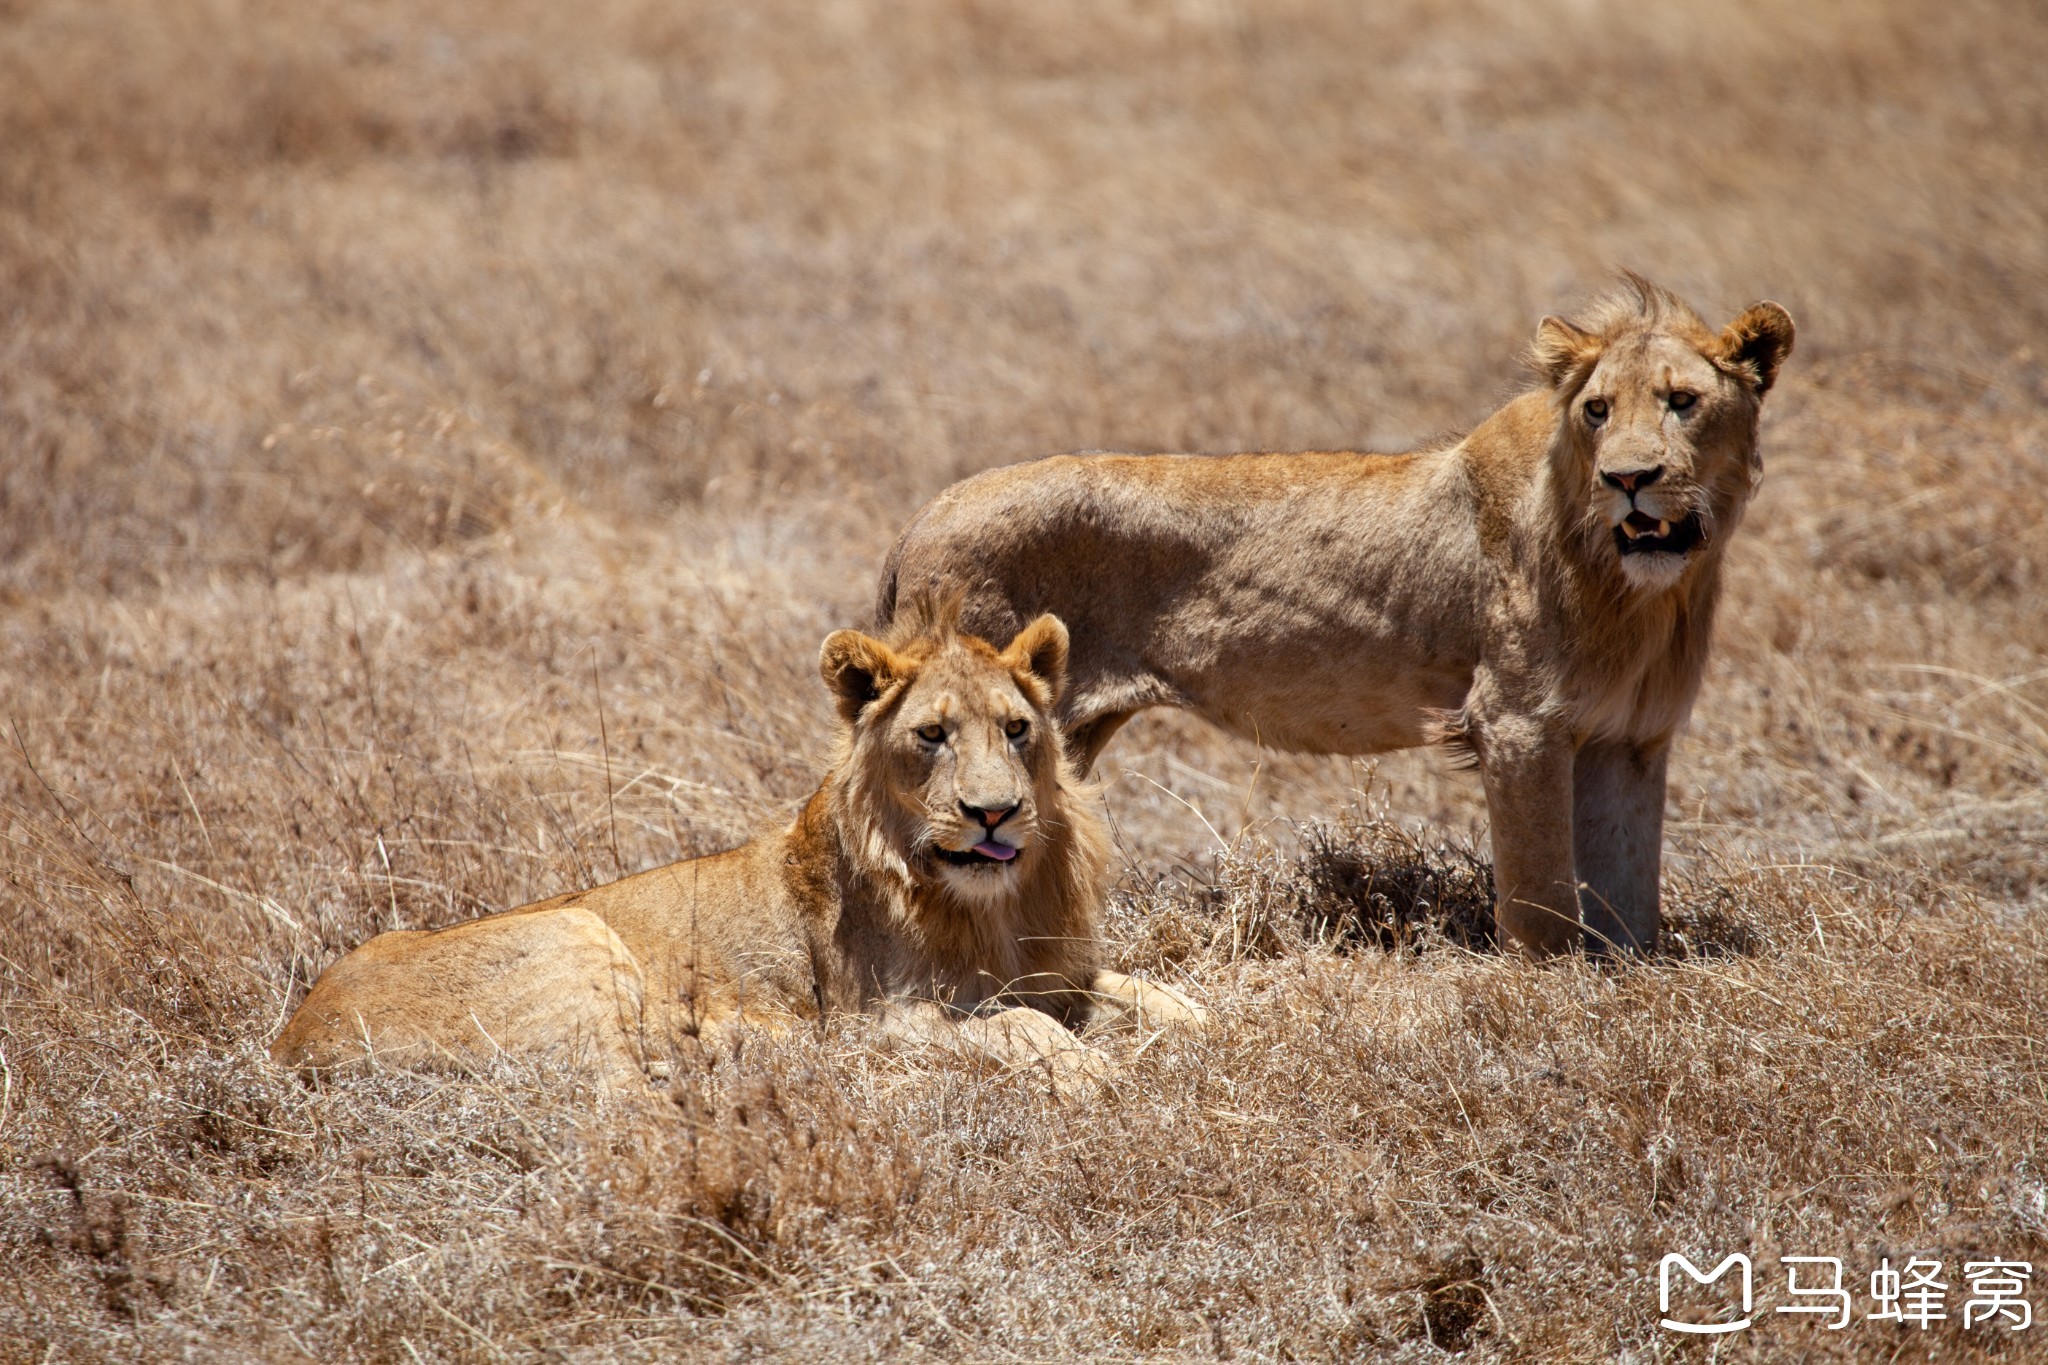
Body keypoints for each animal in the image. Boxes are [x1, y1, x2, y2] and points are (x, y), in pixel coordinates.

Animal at [272, 609, 1196, 1088]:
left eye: (1016, 729)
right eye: (932, 735)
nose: (995, 813)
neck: (990, 906)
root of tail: (291, 1040)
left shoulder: (1055, 971)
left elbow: (1156, 996)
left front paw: (1189, 1026)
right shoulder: (877, 1019)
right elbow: (1015, 1028)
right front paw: (1092, 1069)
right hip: (576, 933)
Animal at [880, 274, 1794, 961]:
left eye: (1682, 402)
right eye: (1597, 410)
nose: (1629, 479)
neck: (1642, 591)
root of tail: (922, 514)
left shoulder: (1633, 736)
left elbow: (1629, 892)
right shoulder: (1517, 720)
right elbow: (1540, 893)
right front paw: (1550, 993)